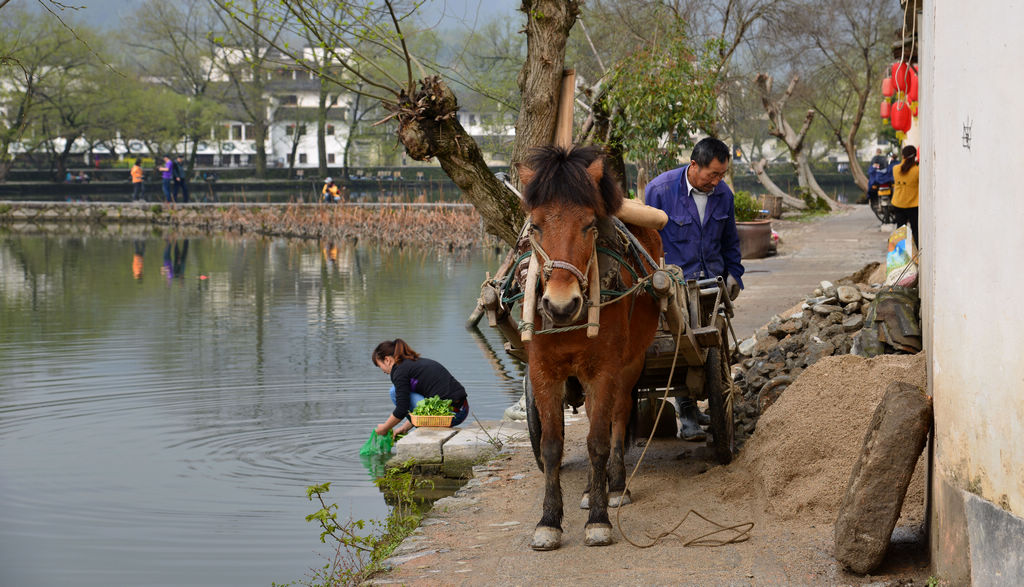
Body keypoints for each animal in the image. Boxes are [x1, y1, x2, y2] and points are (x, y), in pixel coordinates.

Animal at [520, 143, 663, 549]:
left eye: (588, 225)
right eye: (535, 226)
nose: (560, 305)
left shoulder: (605, 369)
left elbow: (598, 441)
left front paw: (599, 519)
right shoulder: (543, 371)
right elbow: (552, 446)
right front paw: (548, 521)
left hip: (631, 363)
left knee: (618, 414)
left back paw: (614, 485)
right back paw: (588, 489)